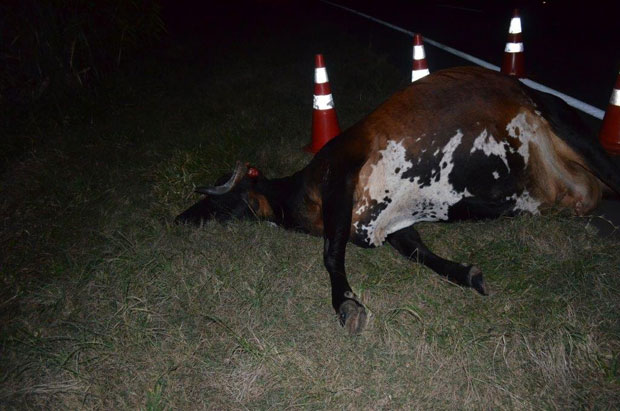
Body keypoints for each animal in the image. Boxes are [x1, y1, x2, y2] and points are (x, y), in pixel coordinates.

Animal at [176, 65, 620, 334]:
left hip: (568, 127)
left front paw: (347, 304)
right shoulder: (390, 223)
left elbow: (331, 253)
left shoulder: (340, 179)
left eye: (215, 195)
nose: (179, 218)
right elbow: (418, 252)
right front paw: (467, 274)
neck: (301, 197)